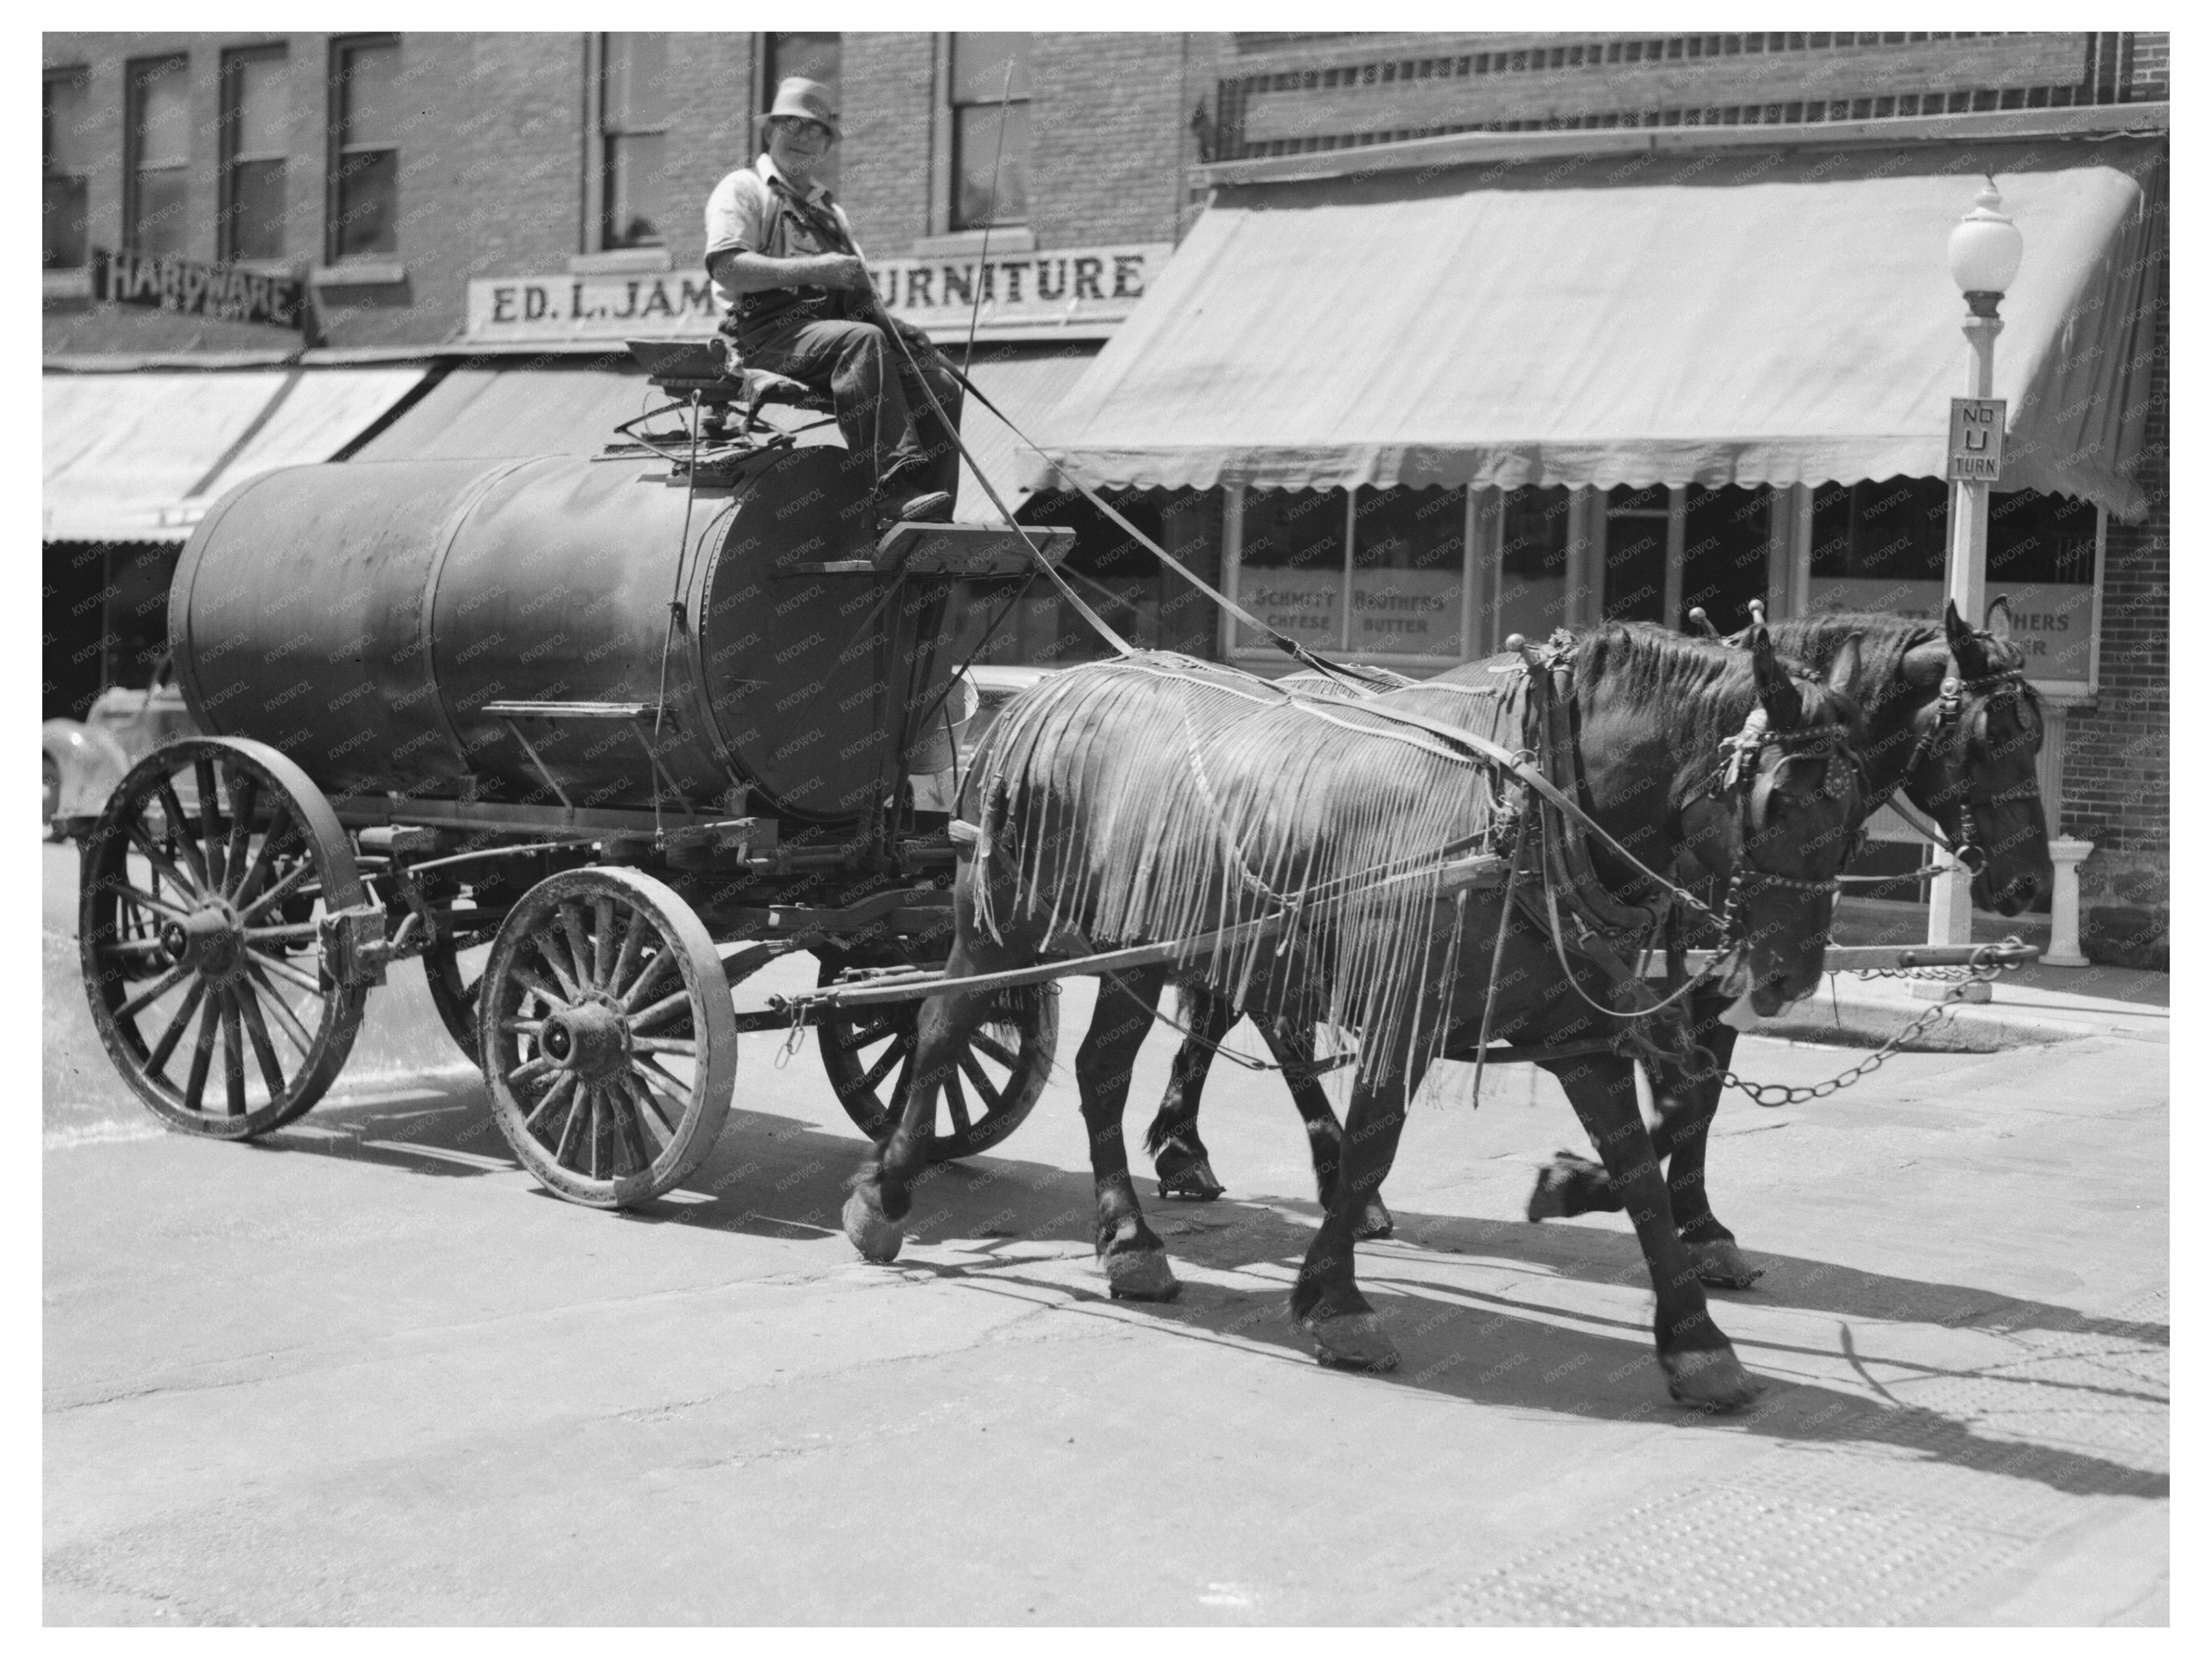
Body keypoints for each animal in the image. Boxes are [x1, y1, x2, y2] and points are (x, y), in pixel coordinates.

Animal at [840, 628, 1867, 1407]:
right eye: (1775, 798)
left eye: (1856, 813)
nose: (1783, 975)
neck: (1527, 809)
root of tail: (1044, 691)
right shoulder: (1403, 1007)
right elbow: (1374, 1141)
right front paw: (1336, 1300)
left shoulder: (1579, 1033)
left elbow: (1640, 1172)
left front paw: (1692, 1336)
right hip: (1000, 917)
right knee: (942, 1029)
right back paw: (885, 1195)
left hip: (1140, 944)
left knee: (1100, 1071)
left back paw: (1128, 1242)